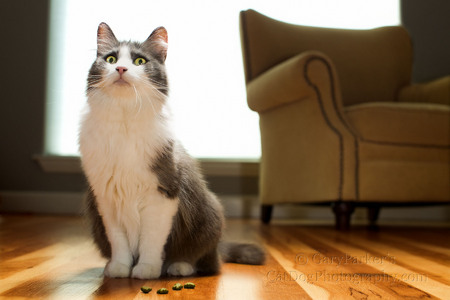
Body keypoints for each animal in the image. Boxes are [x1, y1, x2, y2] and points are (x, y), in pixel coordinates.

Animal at [79, 22, 266, 278]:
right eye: (110, 58)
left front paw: (147, 269)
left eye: (139, 61)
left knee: (206, 261)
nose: (120, 69)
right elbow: (119, 241)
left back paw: (179, 267)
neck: (124, 121)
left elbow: (151, 240)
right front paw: (119, 268)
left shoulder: (162, 192)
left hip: (209, 214)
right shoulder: (106, 197)